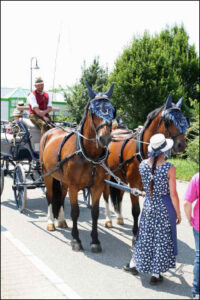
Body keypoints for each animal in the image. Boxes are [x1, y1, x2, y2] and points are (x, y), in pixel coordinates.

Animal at [39, 83, 115, 252]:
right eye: (93, 111)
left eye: (113, 110)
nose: (105, 138)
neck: (88, 156)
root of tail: (51, 130)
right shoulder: (74, 186)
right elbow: (75, 212)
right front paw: (76, 240)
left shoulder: (97, 186)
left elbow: (95, 212)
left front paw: (95, 241)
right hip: (47, 174)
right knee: (50, 196)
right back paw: (50, 222)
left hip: (62, 179)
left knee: (61, 196)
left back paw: (61, 220)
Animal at [103, 94, 189, 241]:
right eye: (169, 121)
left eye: (183, 118)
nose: (181, 145)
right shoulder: (134, 185)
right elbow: (136, 210)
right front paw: (135, 235)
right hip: (107, 174)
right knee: (106, 194)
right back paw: (108, 219)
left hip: (120, 175)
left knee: (119, 194)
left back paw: (119, 217)